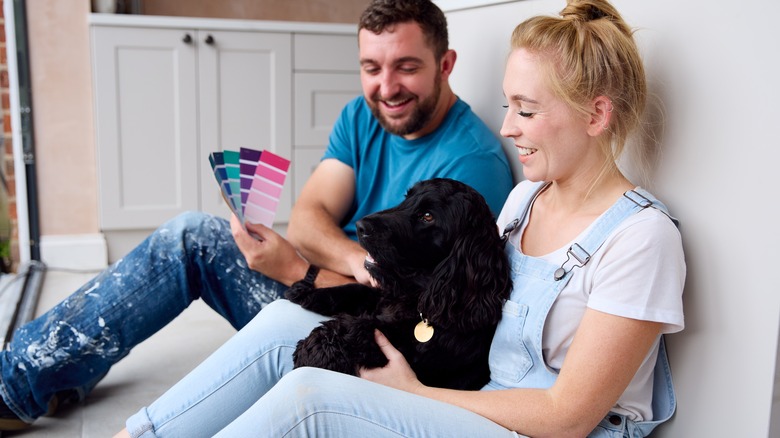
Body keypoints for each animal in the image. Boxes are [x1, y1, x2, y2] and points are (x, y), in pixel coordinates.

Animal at [286, 178, 512, 390]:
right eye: (407, 198)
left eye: (427, 216)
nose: (360, 226)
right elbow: (362, 290)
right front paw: (308, 292)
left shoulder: (413, 350)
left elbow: (361, 327)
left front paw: (313, 348)